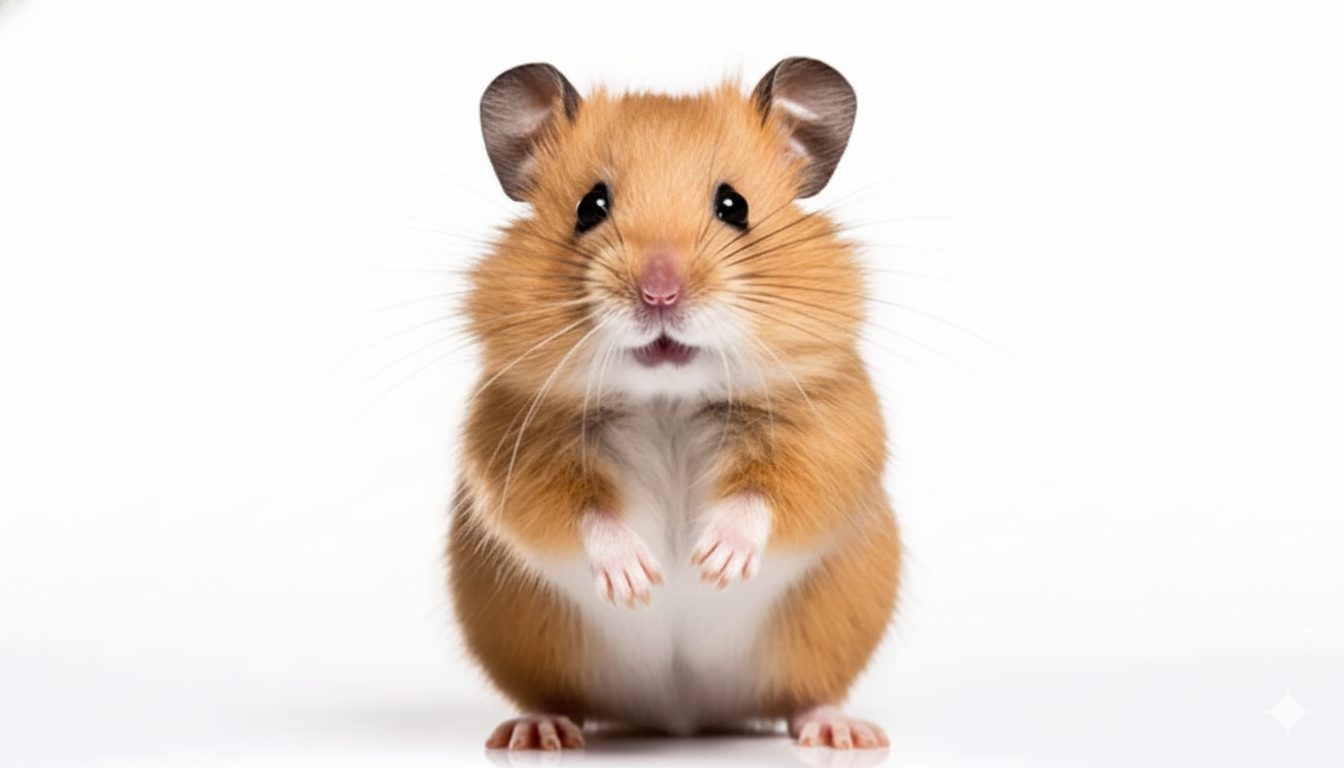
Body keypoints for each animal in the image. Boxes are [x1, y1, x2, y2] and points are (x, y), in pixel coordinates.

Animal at [447, 57, 900, 751]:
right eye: (590, 206)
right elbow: (582, 513)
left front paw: (713, 565)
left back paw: (840, 732)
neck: (668, 399)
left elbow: (767, 494)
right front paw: (640, 582)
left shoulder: (831, 436)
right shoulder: (514, 450)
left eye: (734, 205)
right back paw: (537, 731)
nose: (660, 293)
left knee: (806, 697)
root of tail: (681, 715)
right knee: (555, 699)